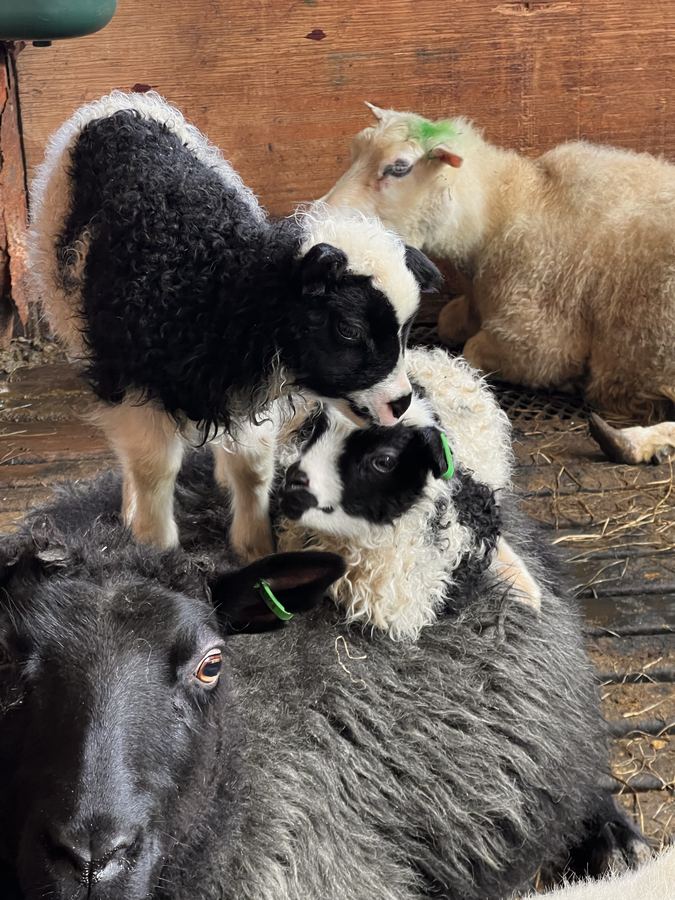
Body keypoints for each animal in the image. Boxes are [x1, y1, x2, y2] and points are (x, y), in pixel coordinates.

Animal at [28, 91, 442, 560]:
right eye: (349, 330)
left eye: (406, 330)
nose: (401, 403)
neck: (211, 283)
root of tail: (119, 106)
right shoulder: (133, 384)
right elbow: (154, 469)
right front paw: (155, 550)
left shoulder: (247, 391)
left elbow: (252, 467)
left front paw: (256, 547)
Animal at [323, 104, 675, 466]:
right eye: (355, 151)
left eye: (399, 168)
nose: (321, 213)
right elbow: (448, 323)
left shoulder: (539, 339)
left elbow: (473, 349)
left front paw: (568, 382)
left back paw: (637, 442)